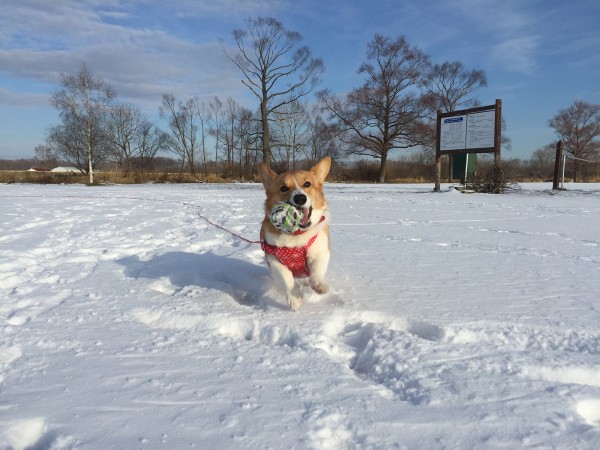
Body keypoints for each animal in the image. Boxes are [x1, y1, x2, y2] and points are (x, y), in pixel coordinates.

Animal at [258, 157, 332, 310]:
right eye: (283, 188)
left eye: (307, 184)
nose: (300, 198)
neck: (297, 235)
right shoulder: (273, 259)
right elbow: (286, 278)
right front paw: (295, 298)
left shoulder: (320, 252)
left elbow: (317, 270)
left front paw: (319, 286)